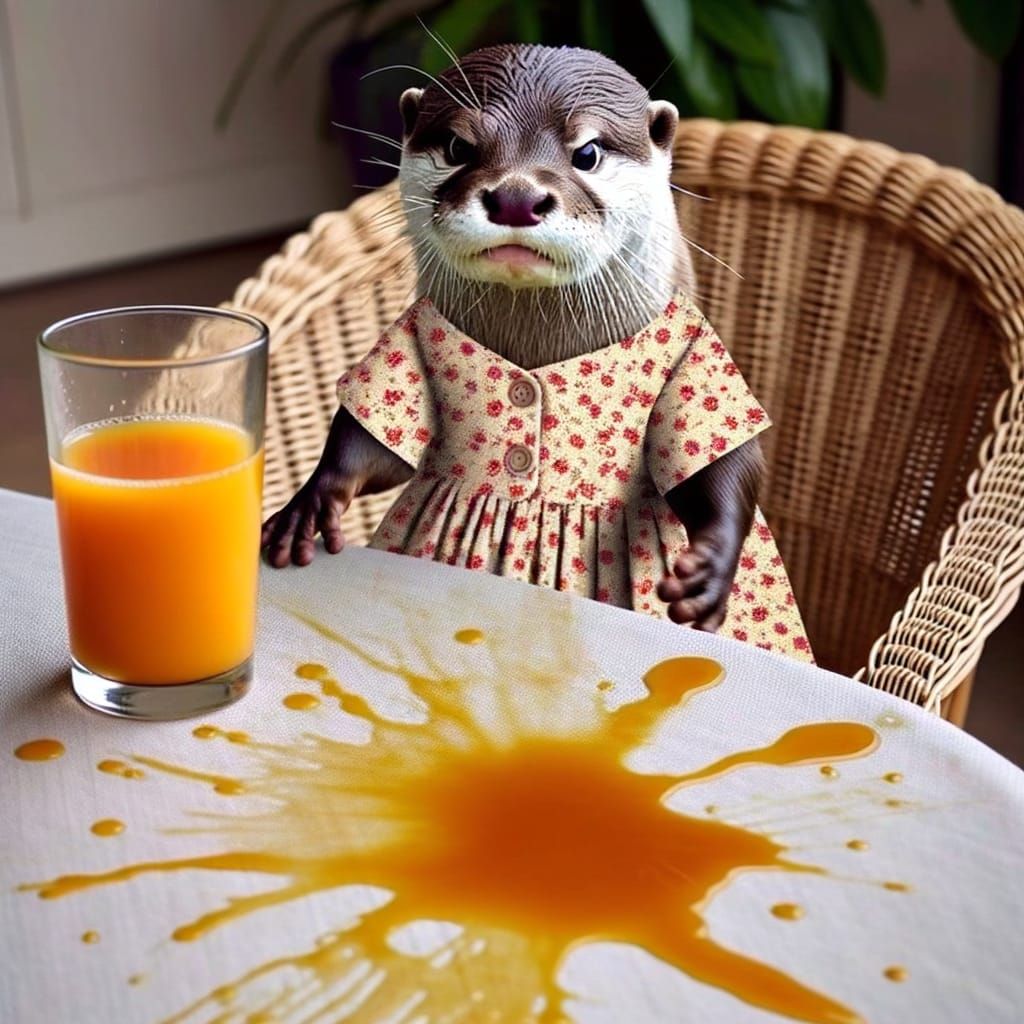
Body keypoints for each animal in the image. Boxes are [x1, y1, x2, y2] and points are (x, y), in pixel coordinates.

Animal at [262, 45, 812, 656]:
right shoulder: (413, 335)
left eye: (587, 152)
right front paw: (311, 503)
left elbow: (721, 463)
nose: (516, 196)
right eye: (458, 147)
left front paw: (708, 572)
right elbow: (370, 448)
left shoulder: (696, 350)